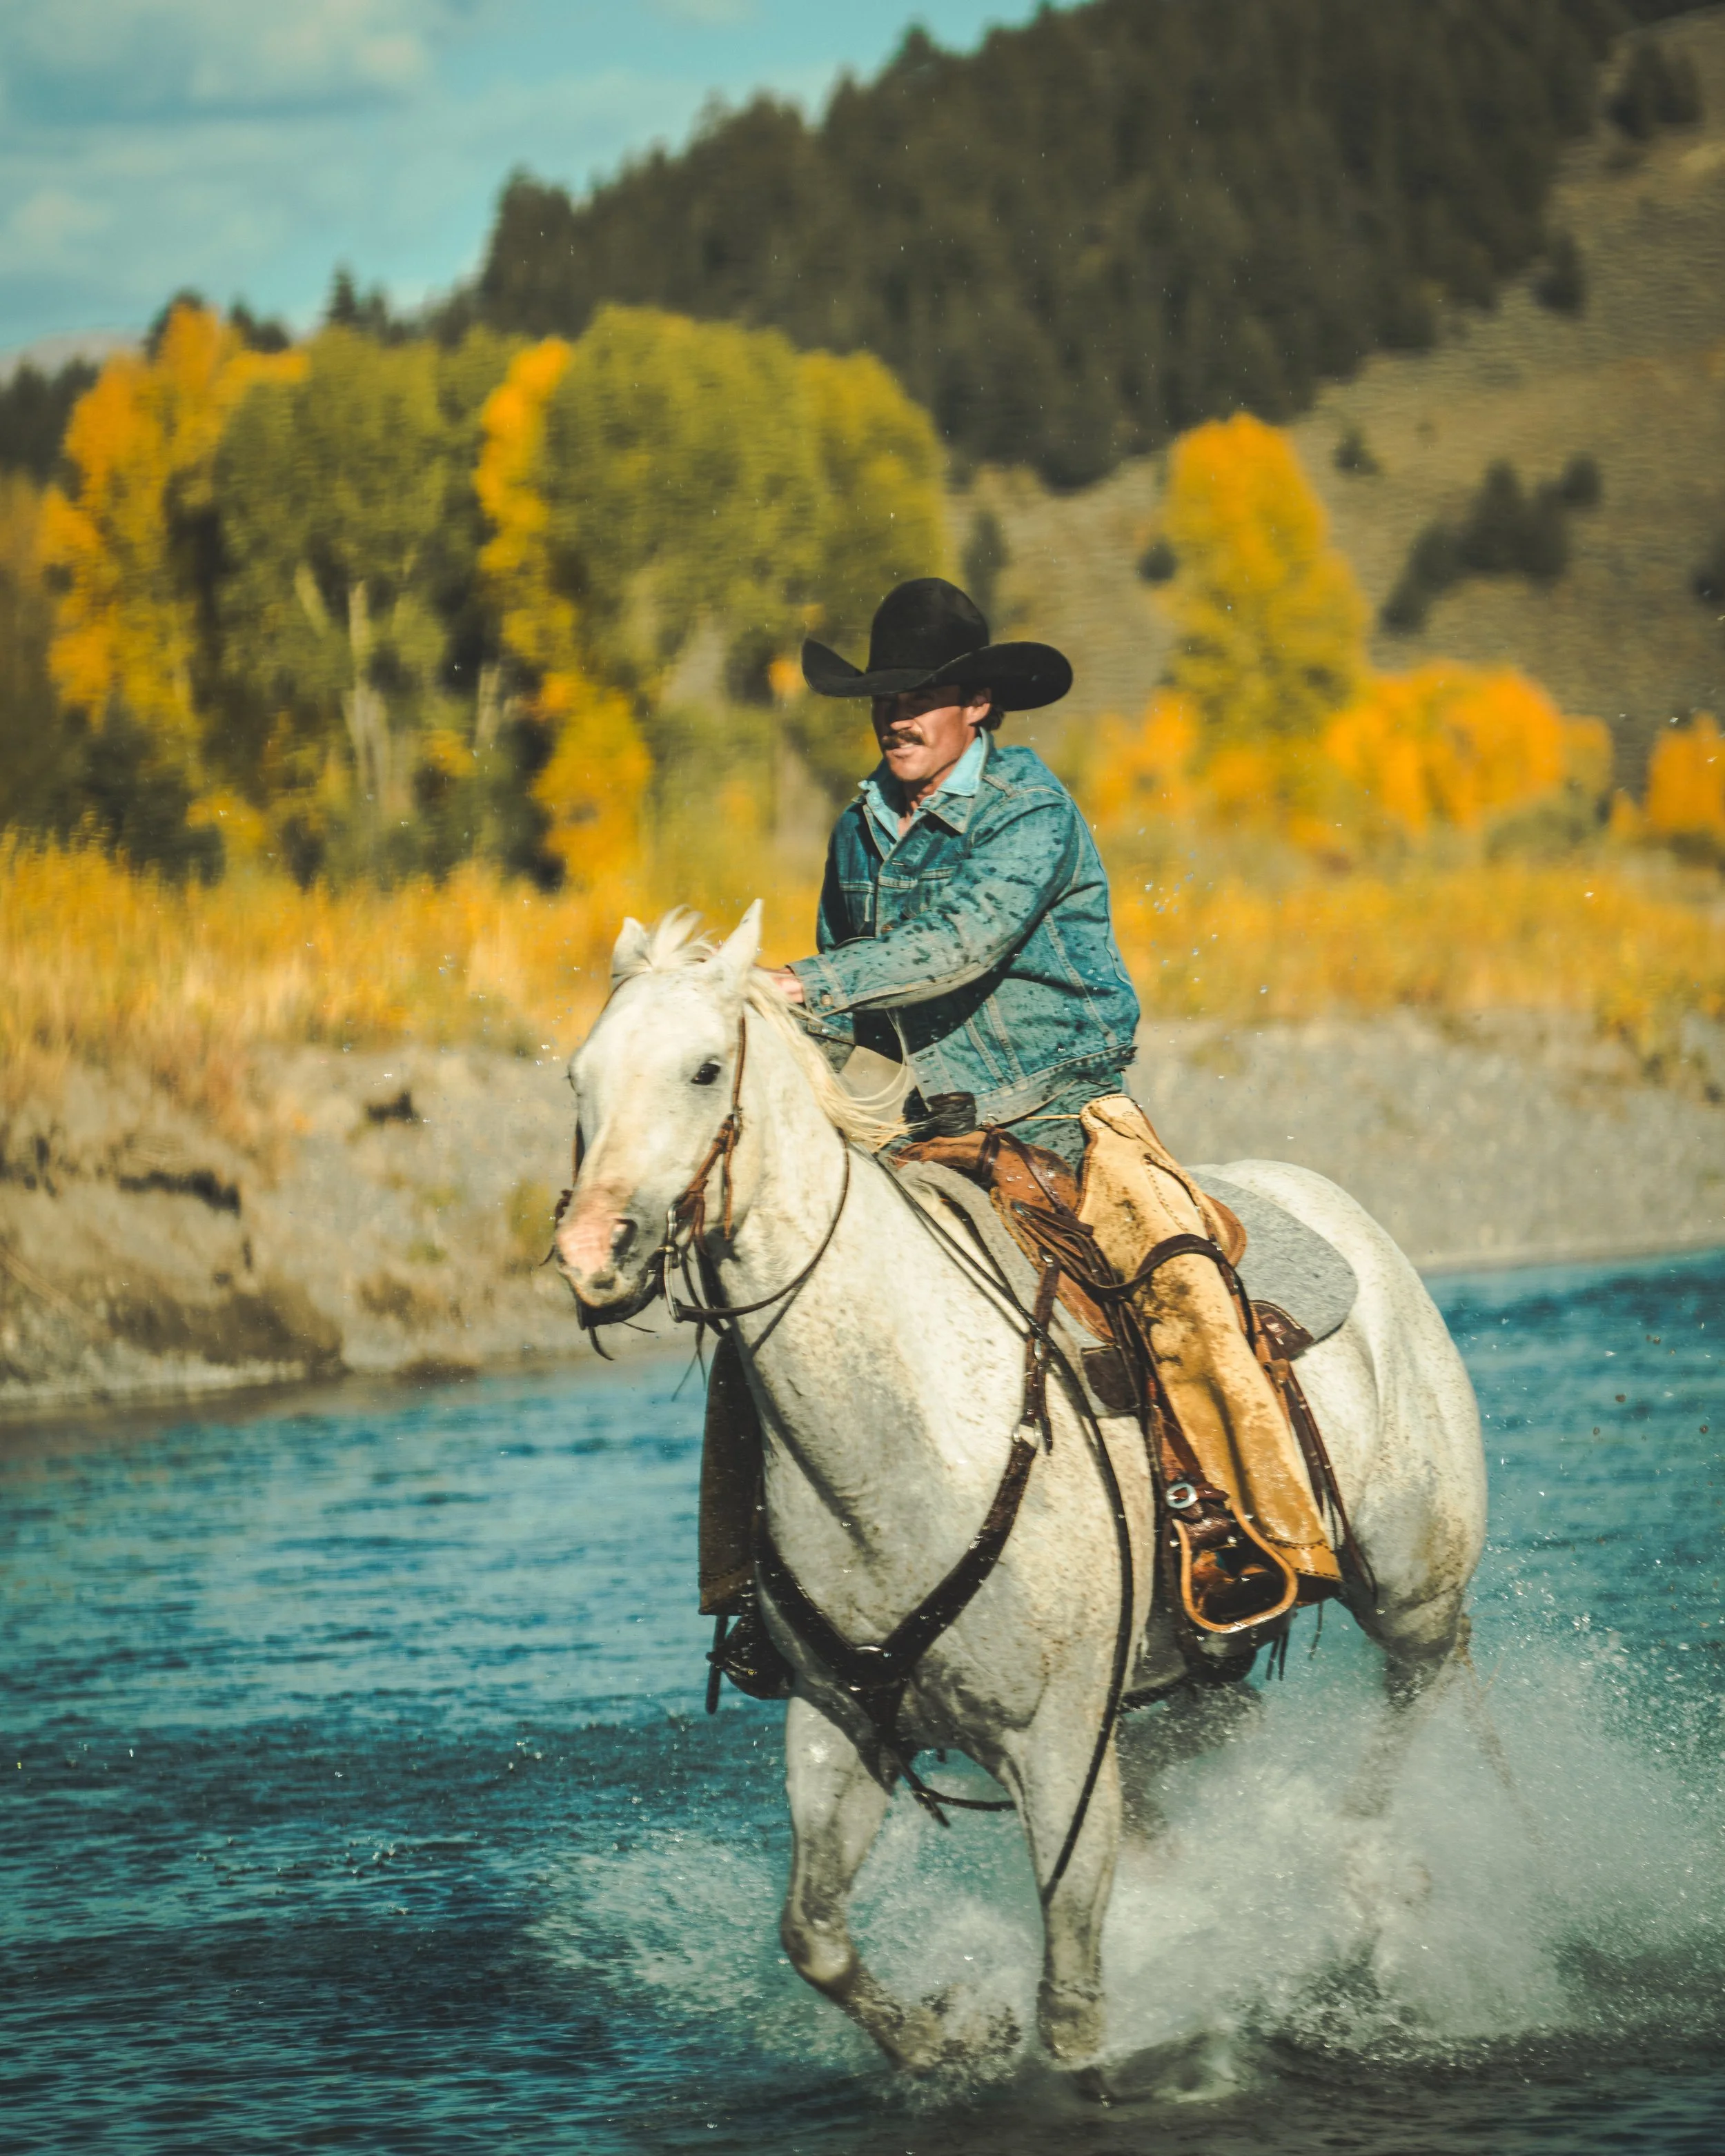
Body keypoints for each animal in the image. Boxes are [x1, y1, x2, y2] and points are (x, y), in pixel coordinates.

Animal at [552, 903, 1488, 2073]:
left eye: (704, 1068)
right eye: (579, 1075)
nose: (591, 1251)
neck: (897, 1449)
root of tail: (1348, 1217)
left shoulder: (1061, 1750)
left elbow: (1074, 2003)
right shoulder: (841, 1723)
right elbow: (814, 1935)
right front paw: (946, 2040)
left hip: (1411, 1592)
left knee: (1424, 1700)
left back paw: (1382, 1875)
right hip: (1182, 1685)